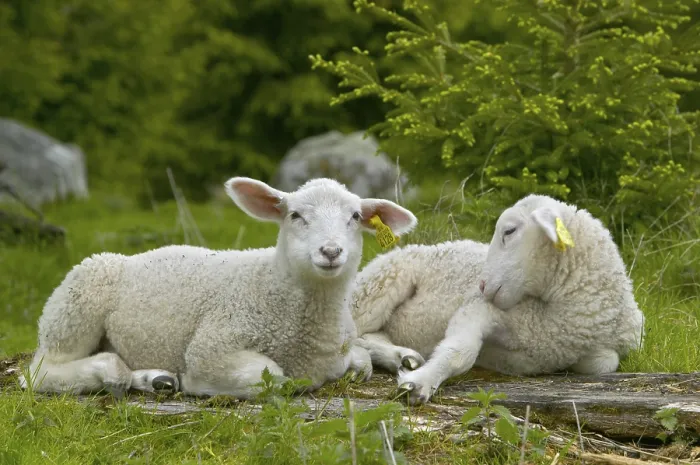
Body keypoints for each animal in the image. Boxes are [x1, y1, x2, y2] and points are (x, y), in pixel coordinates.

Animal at [19, 176, 418, 399]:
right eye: (295, 215)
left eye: (355, 217)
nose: (331, 252)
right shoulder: (213, 345)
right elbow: (271, 377)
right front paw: (199, 384)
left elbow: (359, 361)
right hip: (76, 305)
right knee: (40, 371)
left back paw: (154, 378)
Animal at [351, 194, 645, 405]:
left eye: (509, 231)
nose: (481, 285)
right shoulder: (480, 309)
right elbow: (461, 352)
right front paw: (419, 383)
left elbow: (604, 364)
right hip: (379, 284)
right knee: (351, 332)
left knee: (370, 334)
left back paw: (403, 357)